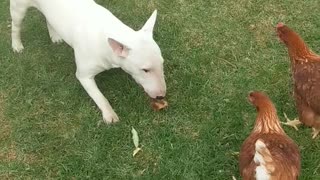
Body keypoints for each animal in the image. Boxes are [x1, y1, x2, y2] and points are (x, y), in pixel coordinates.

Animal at [10, 0, 166, 123]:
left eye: (162, 63)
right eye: (145, 70)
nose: (161, 95)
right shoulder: (84, 75)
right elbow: (98, 95)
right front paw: (109, 115)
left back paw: (55, 36)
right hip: (18, 8)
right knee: (15, 26)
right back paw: (17, 45)